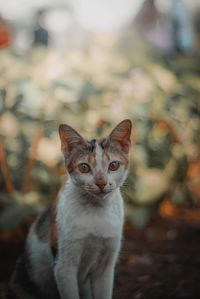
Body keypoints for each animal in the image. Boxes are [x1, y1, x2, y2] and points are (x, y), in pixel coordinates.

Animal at [8, 119, 132, 299]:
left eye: (114, 165)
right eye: (84, 167)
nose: (101, 182)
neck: (96, 210)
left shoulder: (106, 267)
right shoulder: (63, 266)